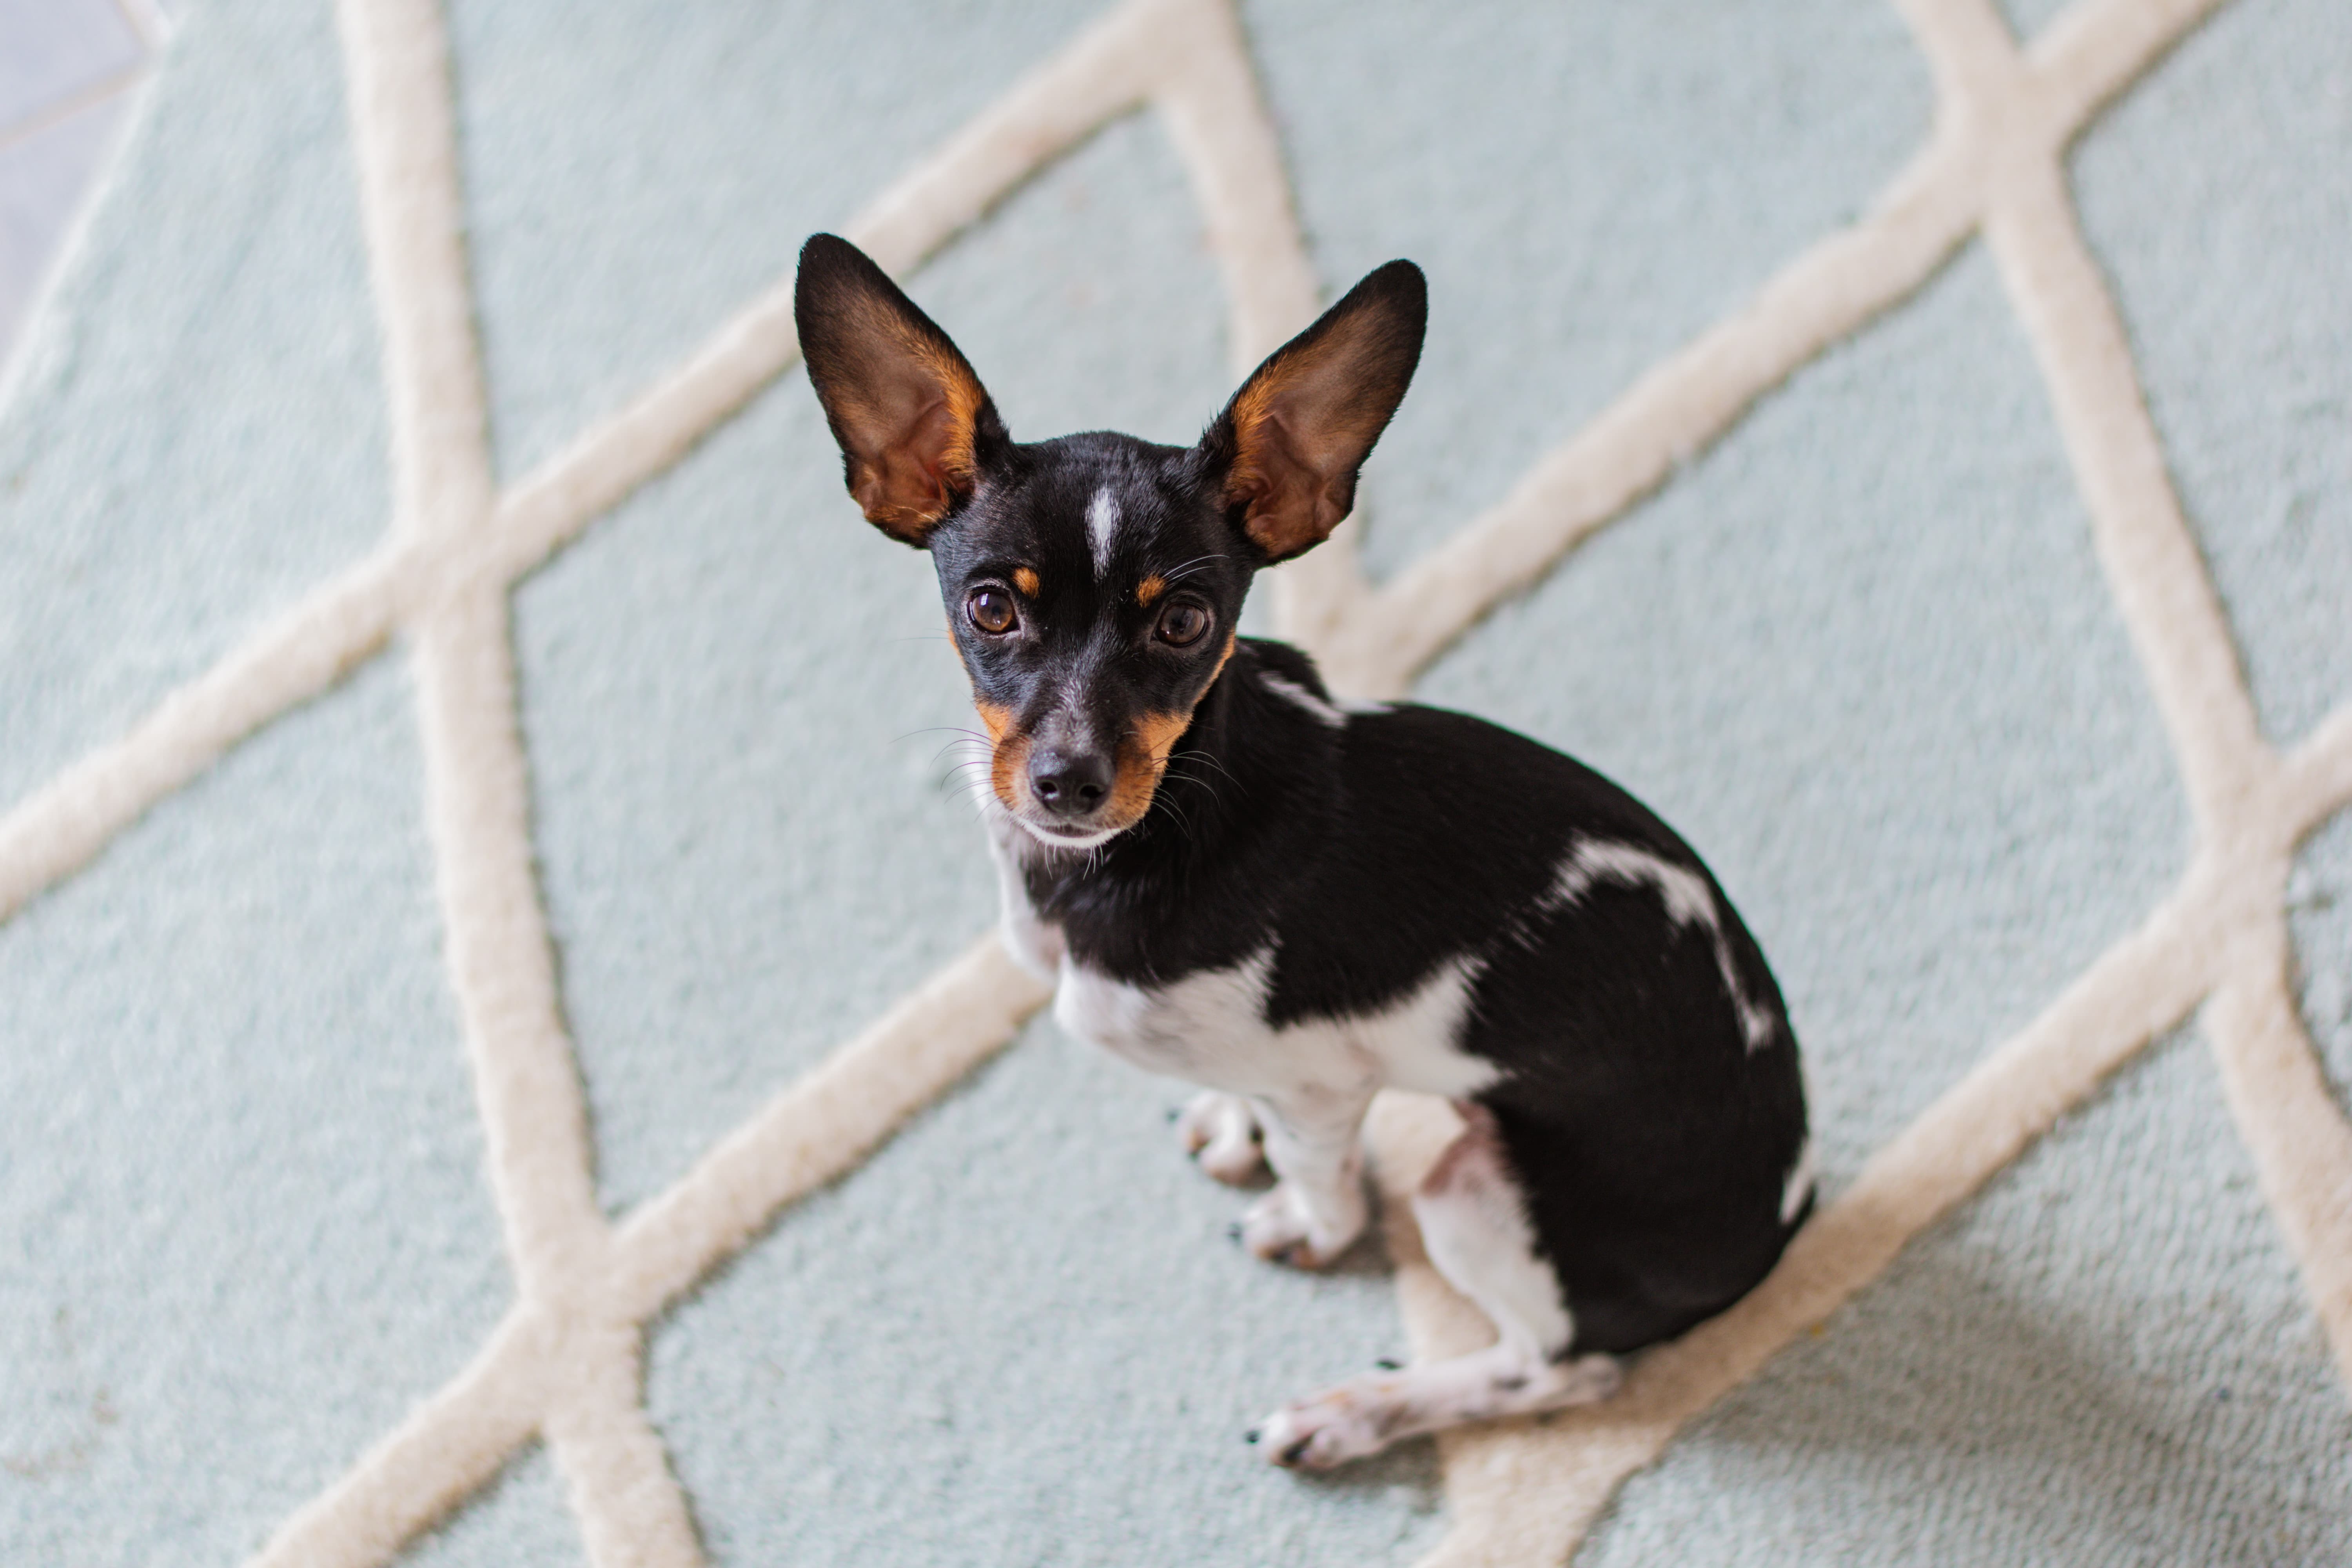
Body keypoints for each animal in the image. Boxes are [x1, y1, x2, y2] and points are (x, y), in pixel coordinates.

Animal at [800, 232, 1806, 1476]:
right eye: (991, 608)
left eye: (1185, 625)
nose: (1068, 782)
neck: (1151, 833)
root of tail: (1789, 1209)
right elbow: (1250, 1096)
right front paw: (1234, 1119)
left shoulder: (1333, 1086)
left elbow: (1325, 1185)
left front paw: (1309, 1225)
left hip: (1481, 1197)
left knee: (1556, 1368)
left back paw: (1361, 1411)